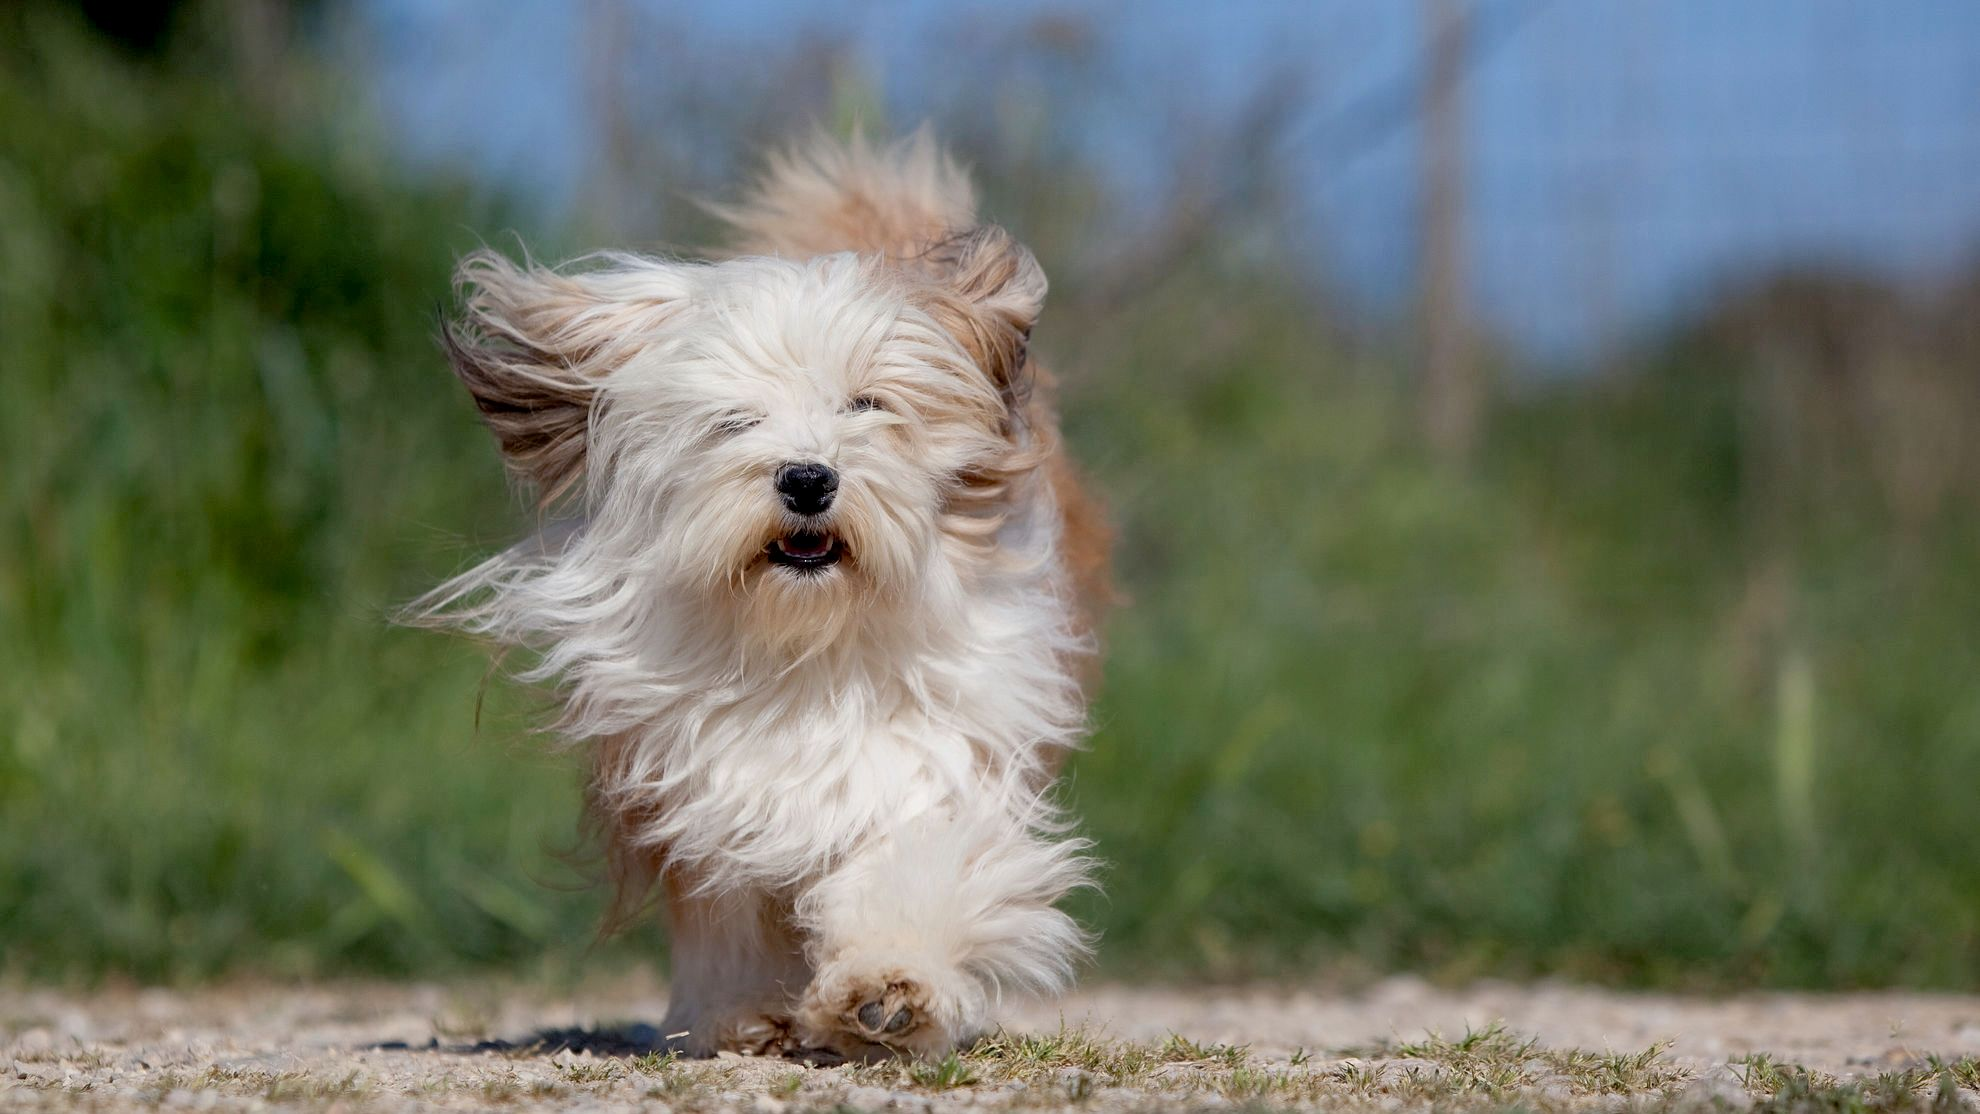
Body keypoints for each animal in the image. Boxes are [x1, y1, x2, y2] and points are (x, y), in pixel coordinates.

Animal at [413, 132, 1116, 1060]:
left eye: (866, 404)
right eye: (734, 421)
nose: (808, 478)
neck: (804, 648)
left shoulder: (934, 754)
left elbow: (914, 864)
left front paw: (887, 991)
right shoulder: (703, 781)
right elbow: (732, 912)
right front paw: (744, 1013)